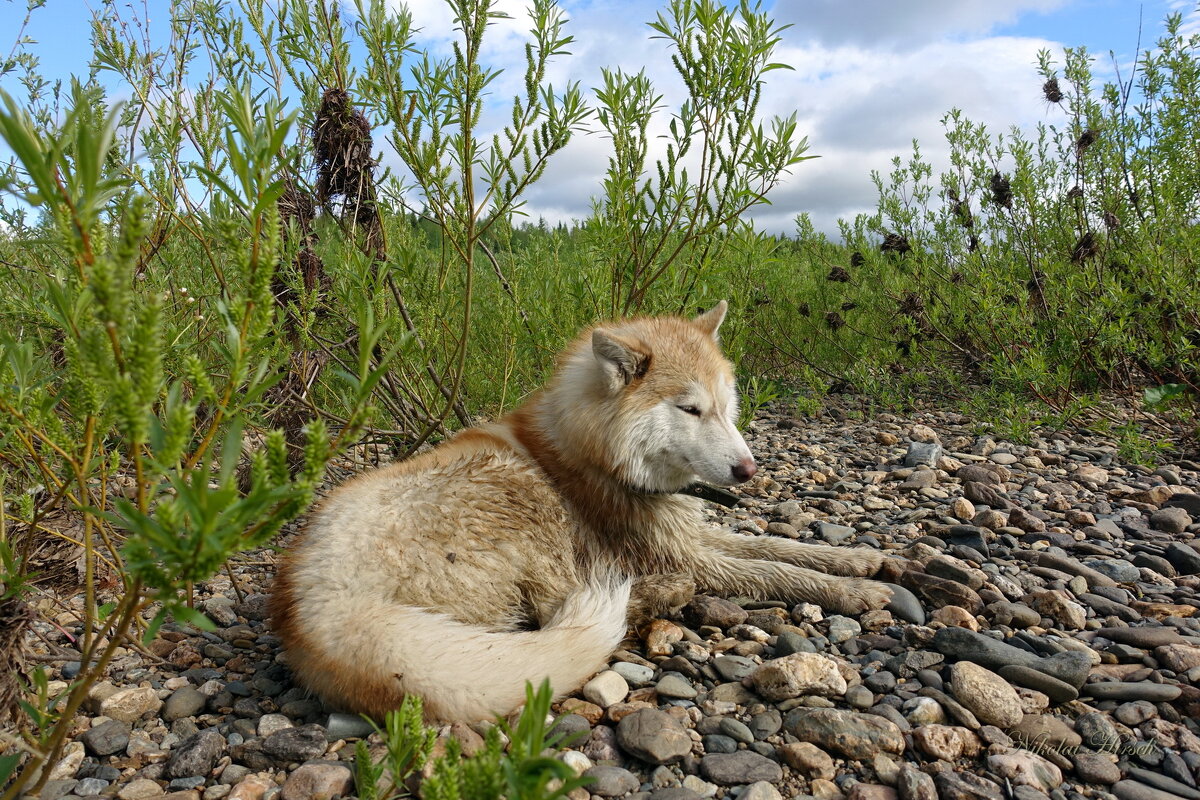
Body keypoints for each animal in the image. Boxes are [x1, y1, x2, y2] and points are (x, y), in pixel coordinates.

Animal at [272, 303, 892, 724]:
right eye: (689, 409)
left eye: (725, 406)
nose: (748, 470)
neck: (595, 454)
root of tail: (316, 609)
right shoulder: (679, 551)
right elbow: (776, 573)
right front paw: (854, 592)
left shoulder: (688, 534)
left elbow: (780, 548)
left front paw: (858, 561)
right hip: (522, 498)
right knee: (563, 608)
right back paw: (661, 592)